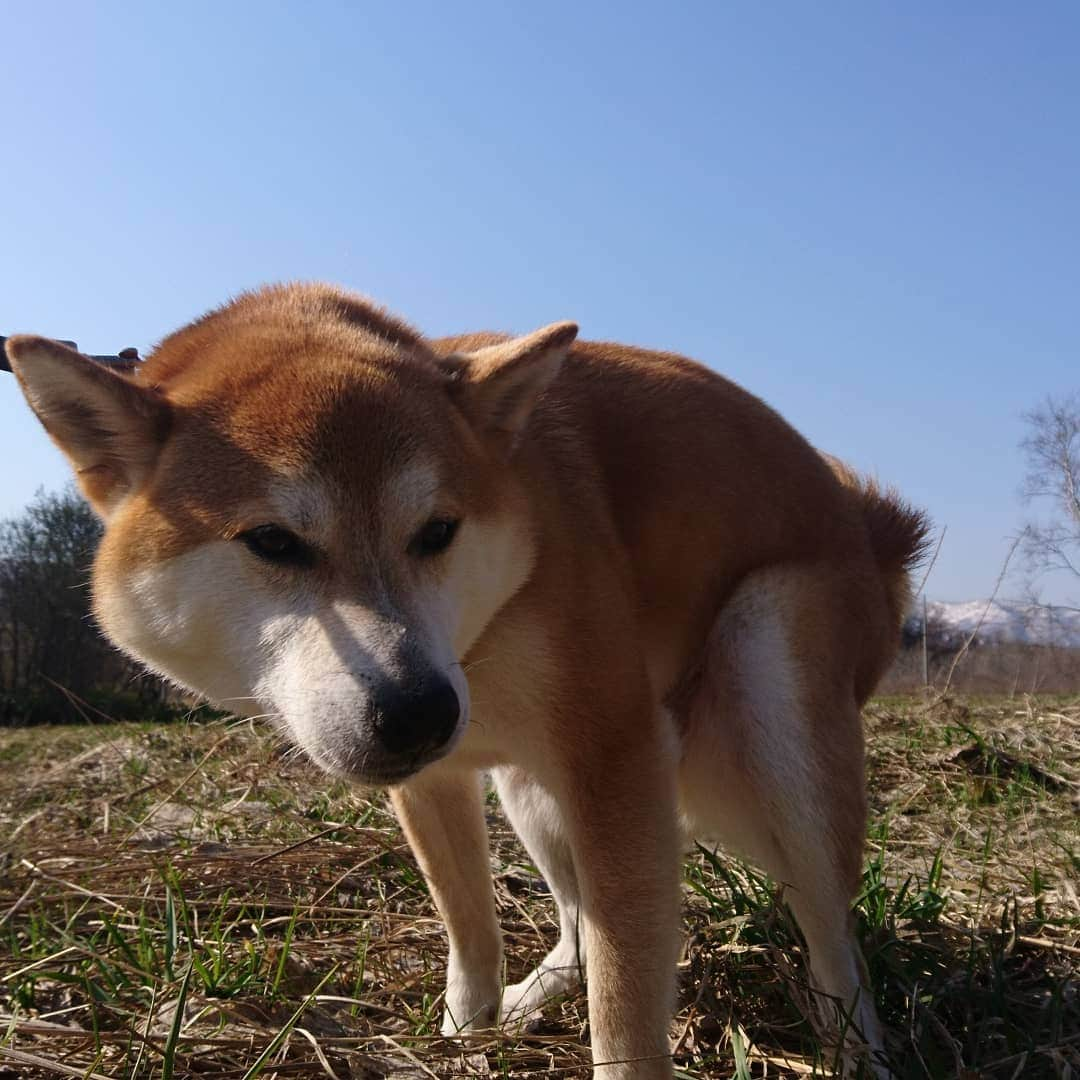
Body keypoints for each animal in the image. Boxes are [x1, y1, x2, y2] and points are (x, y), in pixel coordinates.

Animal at [4, 282, 924, 1075]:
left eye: (437, 530)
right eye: (272, 541)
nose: (419, 711)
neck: (482, 638)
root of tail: (869, 529)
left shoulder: (615, 756)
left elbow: (627, 994)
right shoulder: (433, 780)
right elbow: (471, 925)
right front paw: (466, 1029)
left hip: (768, 688)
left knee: (835, 945)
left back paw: (856, 1052)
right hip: (535, 789)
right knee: (578, 927)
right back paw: (529, 1000)